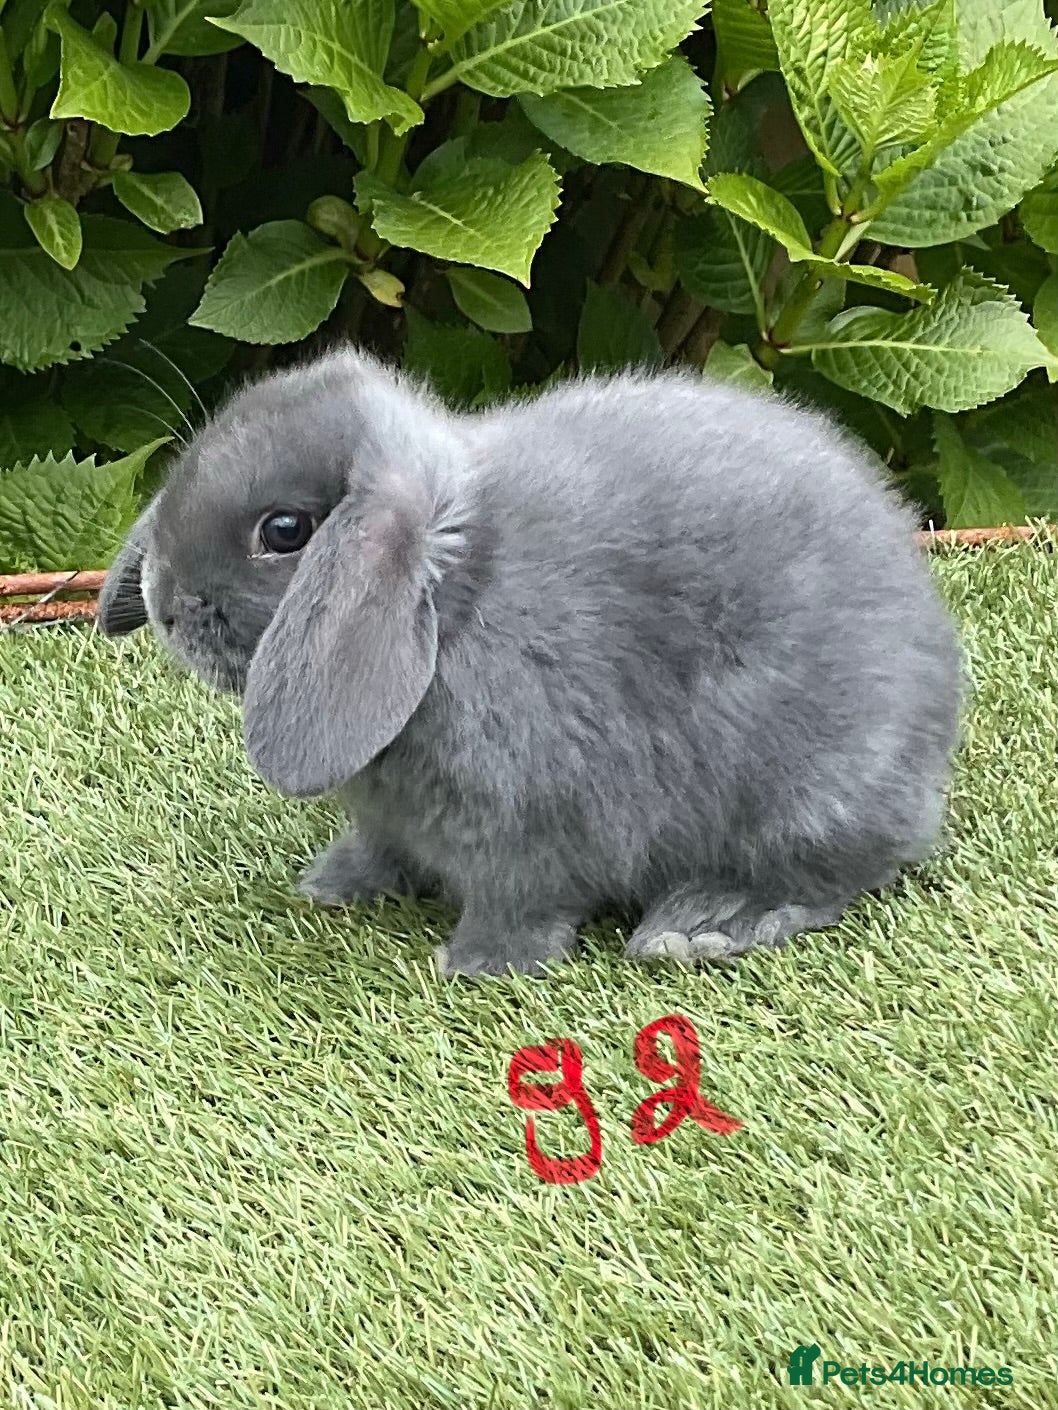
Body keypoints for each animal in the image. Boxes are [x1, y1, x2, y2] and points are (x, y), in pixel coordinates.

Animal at [98, 347, 964, 978]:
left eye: (284, 531)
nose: (162, 601)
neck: (454, 602)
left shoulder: (531, 826)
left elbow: (521, 903)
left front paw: (474, 967)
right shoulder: (391, 821)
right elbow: (378, 850)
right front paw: (332, 889)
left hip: (808, 801)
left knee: (831, 879)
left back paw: (704, 923)